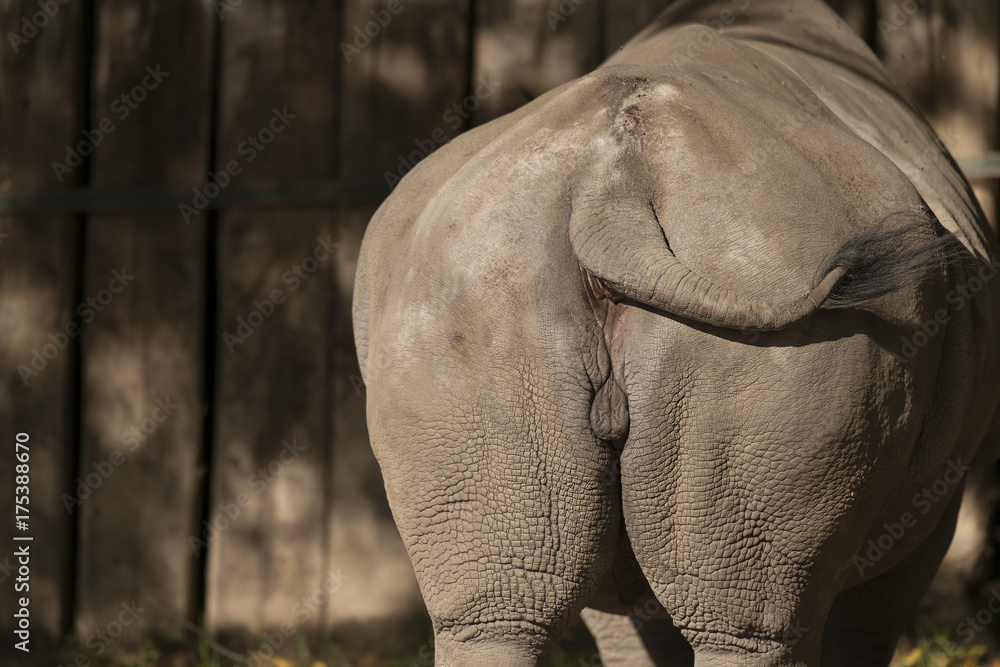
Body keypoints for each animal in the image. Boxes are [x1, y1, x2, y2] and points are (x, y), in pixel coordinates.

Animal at [352, 0, 1000, 664]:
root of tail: (611, 192)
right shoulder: (931, 504)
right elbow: (866, 625)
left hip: (470, 287)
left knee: (501, 615)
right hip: (769, 281)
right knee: (754, 624)